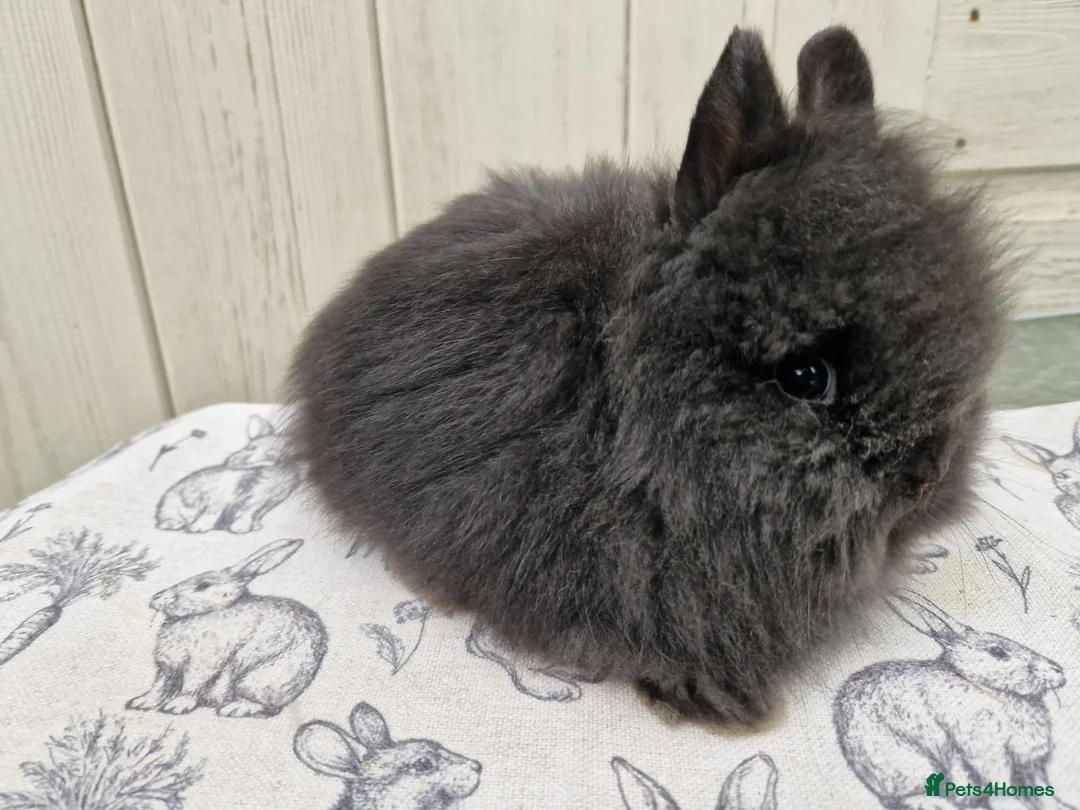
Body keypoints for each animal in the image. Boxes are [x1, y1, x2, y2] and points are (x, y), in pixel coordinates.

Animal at [127, 537, 327, 718]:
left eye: (203, 585)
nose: (156, 598)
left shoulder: (204, 662)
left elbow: (191, 685)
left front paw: (176, 706)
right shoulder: (167, 667)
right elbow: (159, 686)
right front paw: (141, 702)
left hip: (260, 679)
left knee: (263, 704)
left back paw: (234, 709)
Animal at [156, 414, 299, 534]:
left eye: (279, 455)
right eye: (251, 447)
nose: (233, 461)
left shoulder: (265, 503)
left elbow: (252, 513)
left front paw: (250, 527)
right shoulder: (219, 497)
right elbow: (213, 513)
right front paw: (199, 528)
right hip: (173, 504)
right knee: (168, 518)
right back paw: (173, 524)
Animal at [834, 590, 1073, 810]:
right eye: (998, 652)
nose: (1057, 671)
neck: (983, 686)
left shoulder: (1030, 762)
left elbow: (1041, 789)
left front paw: (1058, 805)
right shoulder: (986, 752)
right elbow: (1001, 786)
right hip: (906, 764)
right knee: (910, 797)